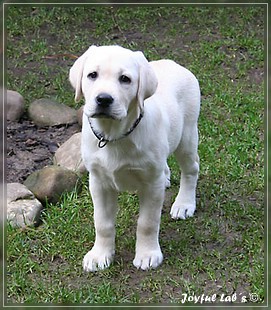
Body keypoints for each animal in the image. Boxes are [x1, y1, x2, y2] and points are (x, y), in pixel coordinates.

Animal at [69, 44, 202, 272]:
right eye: (92, 75)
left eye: (125, 79)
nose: (103, 99)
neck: (114, 135)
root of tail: (174, 63)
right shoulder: (99, 182)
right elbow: (102, 223)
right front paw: (100, 254)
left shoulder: (151, 185)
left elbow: (147, 223)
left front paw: (147, 254)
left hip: (186, 137)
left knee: (191, 169)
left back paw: (184, 203)